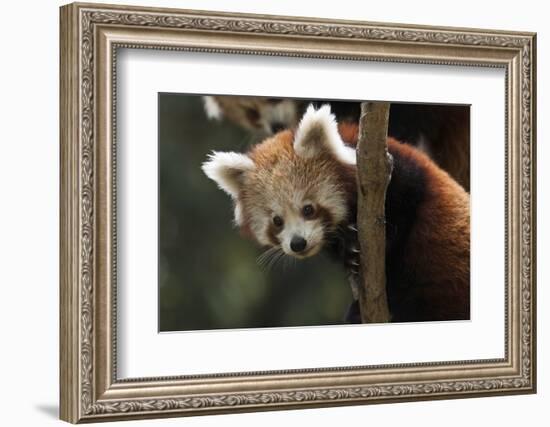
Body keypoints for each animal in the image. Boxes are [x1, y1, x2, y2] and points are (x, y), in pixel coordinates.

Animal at [203, 105, 470, 322]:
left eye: (308, 209)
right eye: (277, 221)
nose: (297, 243)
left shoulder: (400, 172)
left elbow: (405, 209)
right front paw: (349, 252)